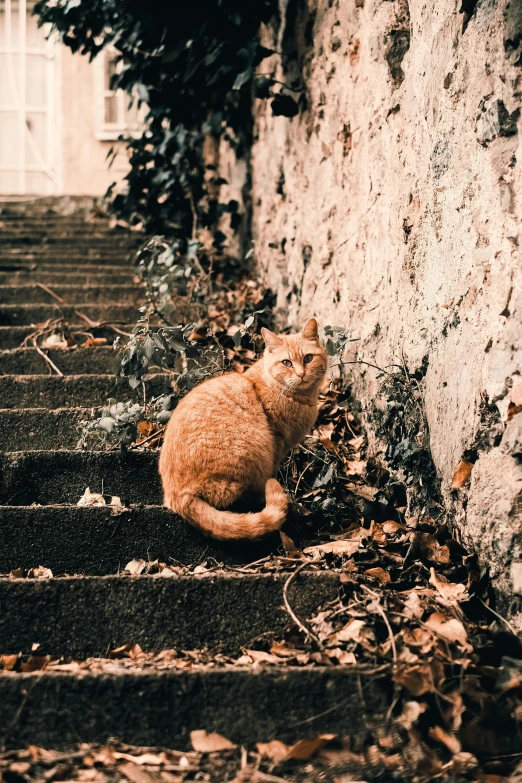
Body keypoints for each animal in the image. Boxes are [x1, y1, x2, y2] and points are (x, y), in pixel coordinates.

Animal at [159, 318, 324, 540]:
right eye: (287, 363)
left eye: (308, 358)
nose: (301, 374)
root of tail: (178, 497)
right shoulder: (277, 444)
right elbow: (274, 470)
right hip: (251, 457)